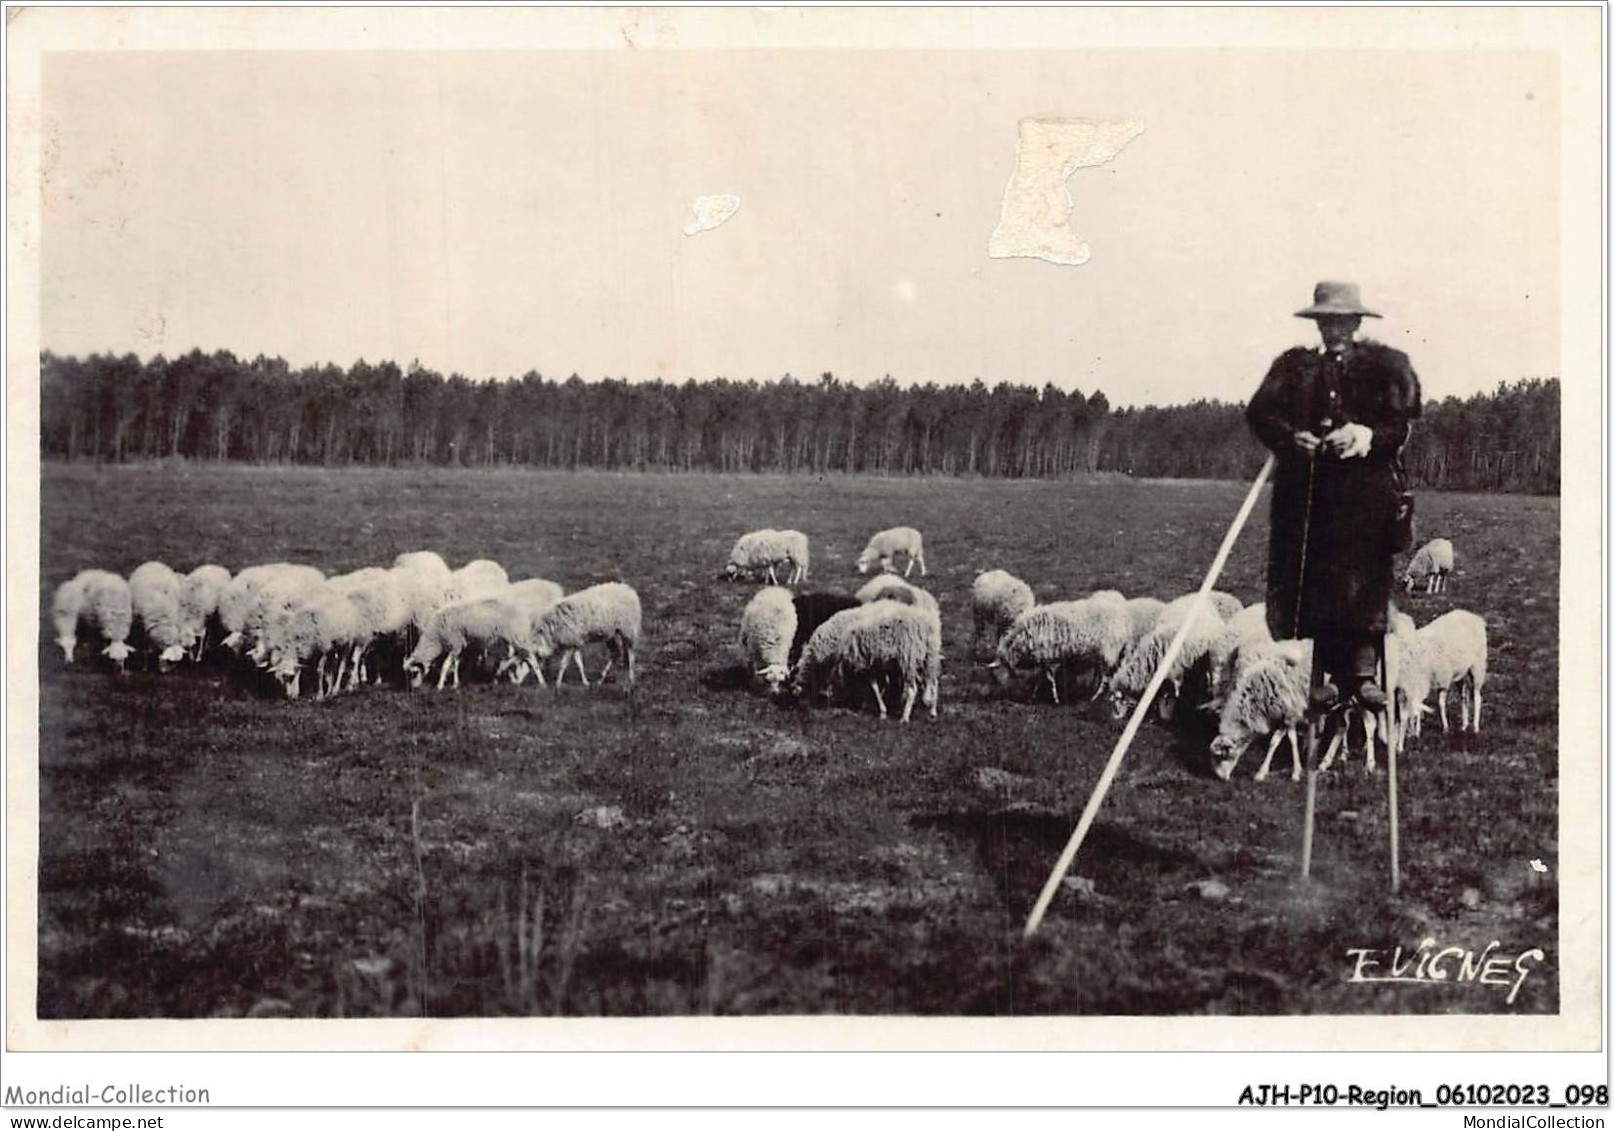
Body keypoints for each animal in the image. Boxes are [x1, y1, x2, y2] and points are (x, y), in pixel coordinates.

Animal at [787, 600, 942, 722]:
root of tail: (927, 626)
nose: (797, 710)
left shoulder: (857, 661)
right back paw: (933, 712)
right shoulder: (873, 663)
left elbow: (869, 686)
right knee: (934, 681)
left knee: (912, 689)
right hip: (929, 657)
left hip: (909, 658)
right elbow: (877, 685)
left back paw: (904, 717)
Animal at [987, 596, 1129, 700]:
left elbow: (1049, 678)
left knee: (1106, 677)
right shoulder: (1044, 658)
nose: (1001, 691)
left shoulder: (1050, 657)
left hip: (1108, 652)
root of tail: (1122, 621)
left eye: (995, 675)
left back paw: (1095, 697)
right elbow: (1041, 677)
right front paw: (1035, 694)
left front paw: (1055, 698)